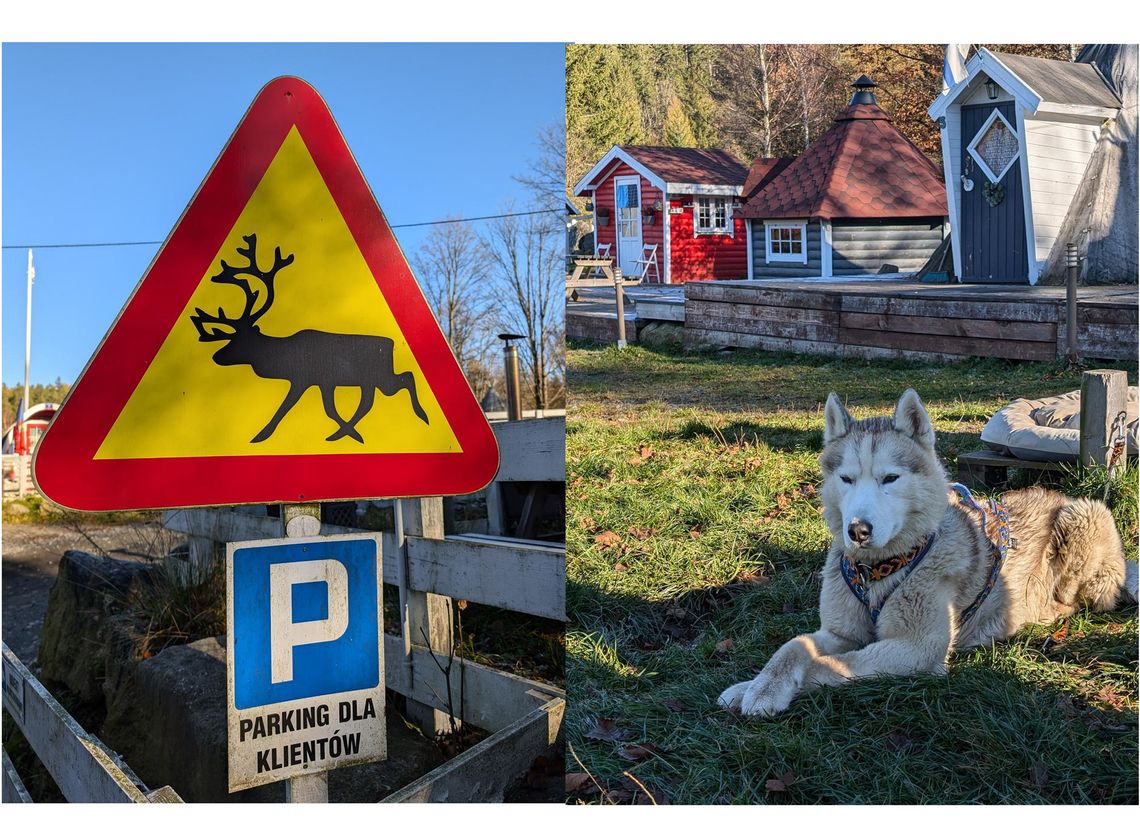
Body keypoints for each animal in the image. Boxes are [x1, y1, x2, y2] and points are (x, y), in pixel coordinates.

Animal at [715, 387, 1135, 716]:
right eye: (846, 478)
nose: (858, 531)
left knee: (1076, 601)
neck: (878, 570)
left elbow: (831, 664)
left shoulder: (917, 648)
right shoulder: (839, 630)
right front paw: (756, 685)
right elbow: (794, 646)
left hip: (1081, 517)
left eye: (890, 478)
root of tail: (1061, 495)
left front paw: (786, 686)